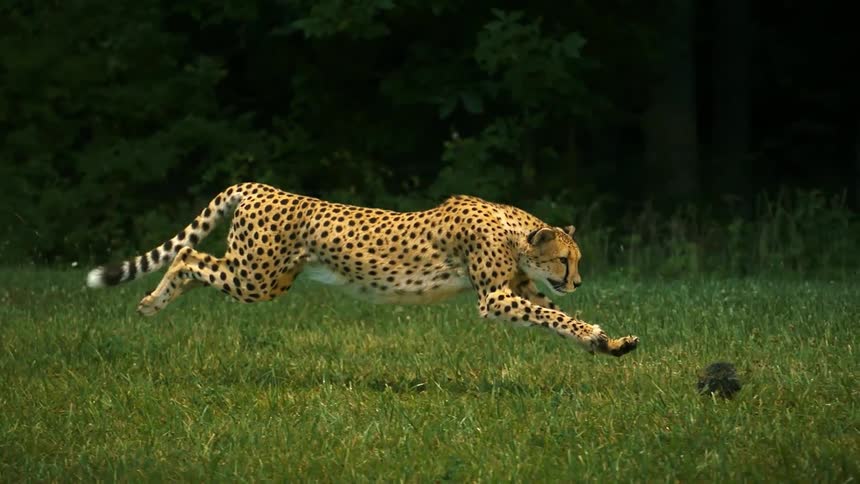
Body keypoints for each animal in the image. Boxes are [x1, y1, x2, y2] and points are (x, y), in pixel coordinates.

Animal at [86, 182, 639, 357]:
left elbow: (560, 318)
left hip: (271, 279)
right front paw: (597, 335)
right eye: (565, 259)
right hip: (254, 276)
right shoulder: (495, 298)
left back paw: (151, 303)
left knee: (193, 260)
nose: (578, 280)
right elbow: (553, 315)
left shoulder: (518, 290)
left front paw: (607, 341)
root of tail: (259, 186)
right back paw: (151, 303)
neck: (512, 230)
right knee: (188, 257)